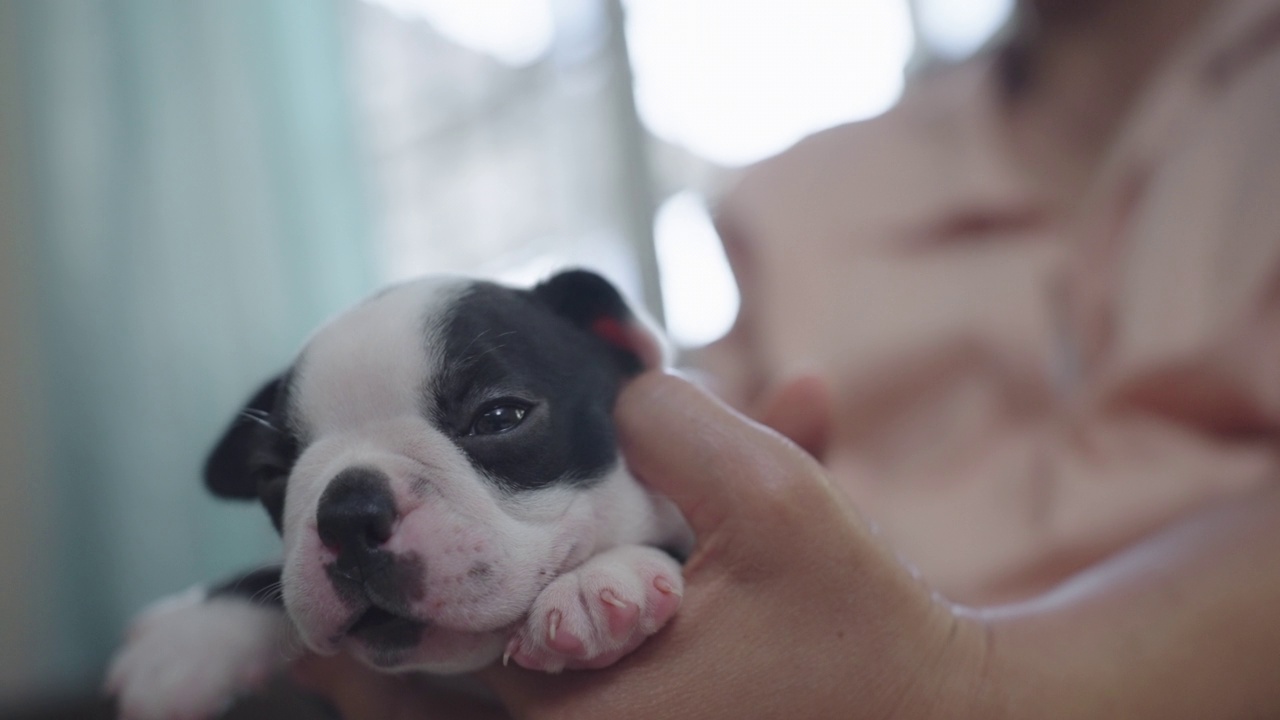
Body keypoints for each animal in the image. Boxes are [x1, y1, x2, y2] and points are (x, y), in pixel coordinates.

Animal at [106, 269, 696, 717]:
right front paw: (192, 637)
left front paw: (602, 579)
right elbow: (268, 576)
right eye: (272, 472)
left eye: (499, 417)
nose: (347, 515)